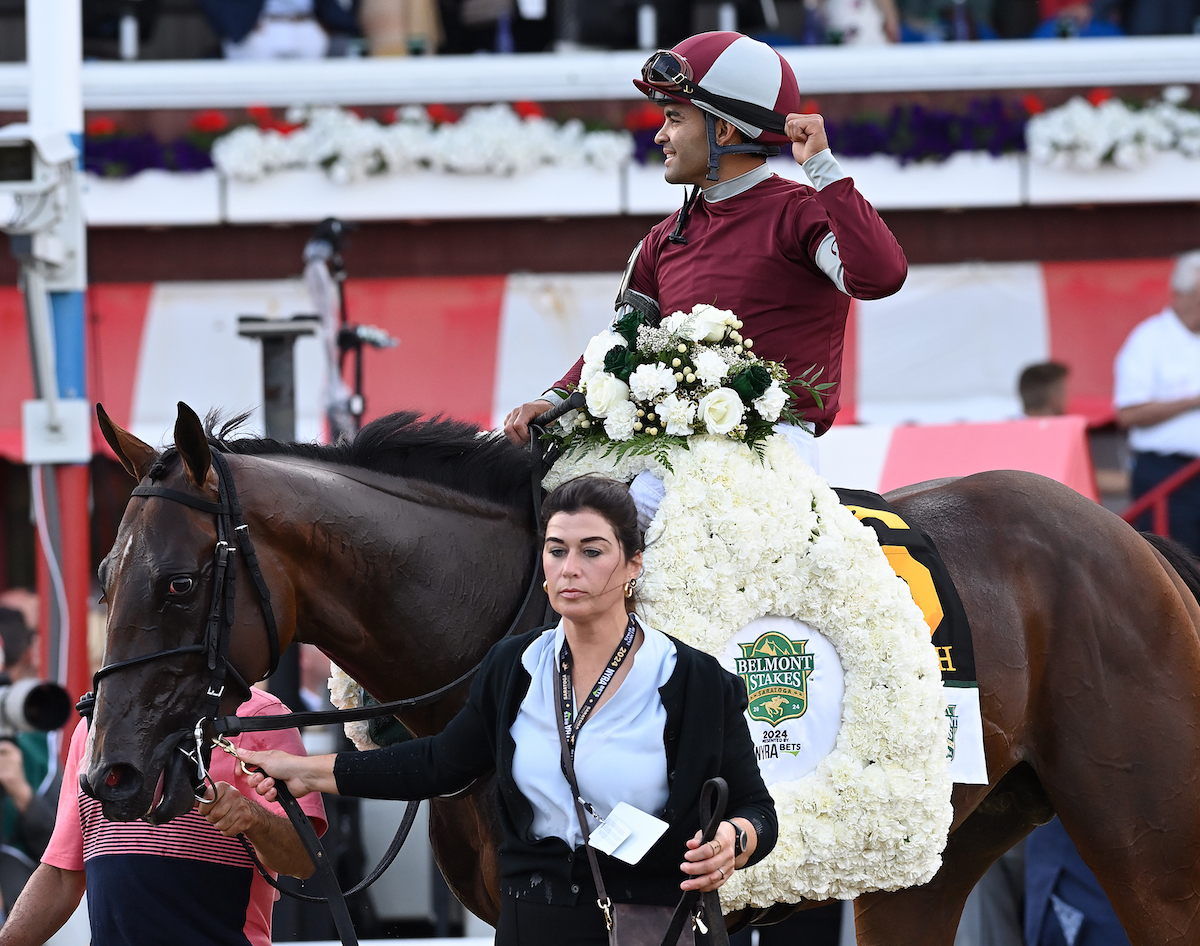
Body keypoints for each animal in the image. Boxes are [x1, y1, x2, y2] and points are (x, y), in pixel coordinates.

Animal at [91, 403, 1200, 941]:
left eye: (180, 583)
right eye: (107, 577)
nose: (110, 773)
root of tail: (1130, 541)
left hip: (1148, 845)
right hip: (930, 862)